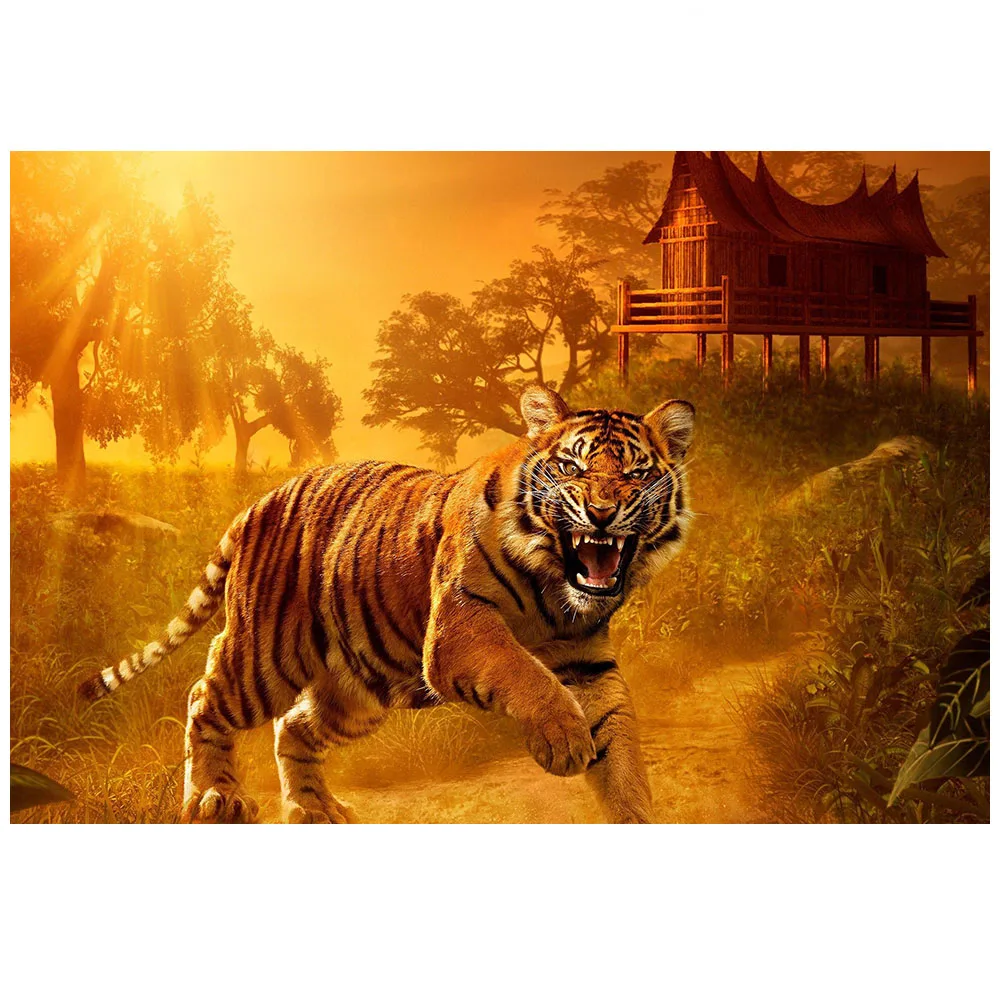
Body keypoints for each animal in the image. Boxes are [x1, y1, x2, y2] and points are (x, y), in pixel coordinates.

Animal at [79, 386, 695, 824]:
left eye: (637, 474)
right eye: (572, 468)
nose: (601, 514)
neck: (555, 591)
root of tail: (261, 499)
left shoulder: (587, 662)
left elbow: (621, 750)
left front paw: (632, 811)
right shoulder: (460, 625)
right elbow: (523, 671)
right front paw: (564, 739)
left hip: (358, 689)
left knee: (293, 727)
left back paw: (315, 810)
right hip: (265, 657)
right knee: (204, 695)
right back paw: (214, 798)